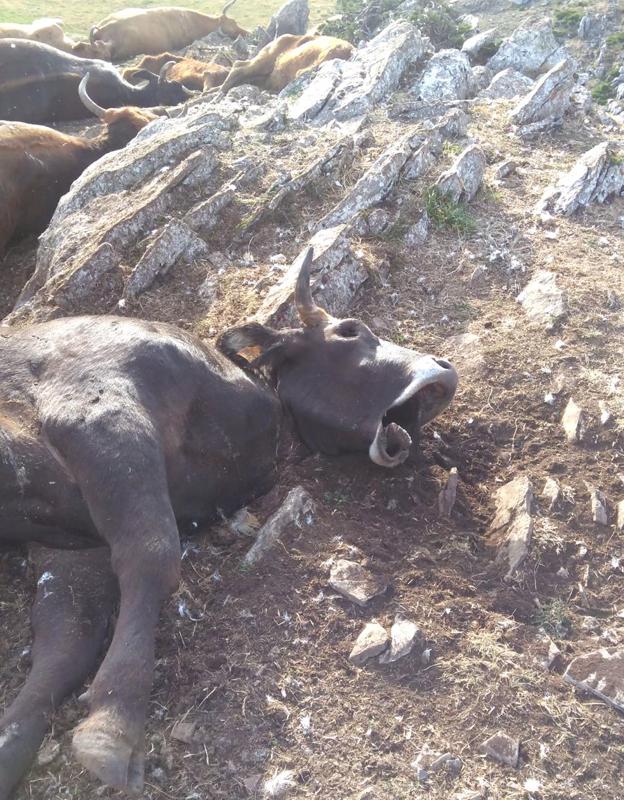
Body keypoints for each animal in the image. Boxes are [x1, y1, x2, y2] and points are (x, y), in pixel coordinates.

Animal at [0, 248, 458, 792]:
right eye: (349, 331)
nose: (444, 369)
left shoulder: (74, 545)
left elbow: (65, 641)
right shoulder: (99, 412)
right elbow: (152, 556)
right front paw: (113, 722)